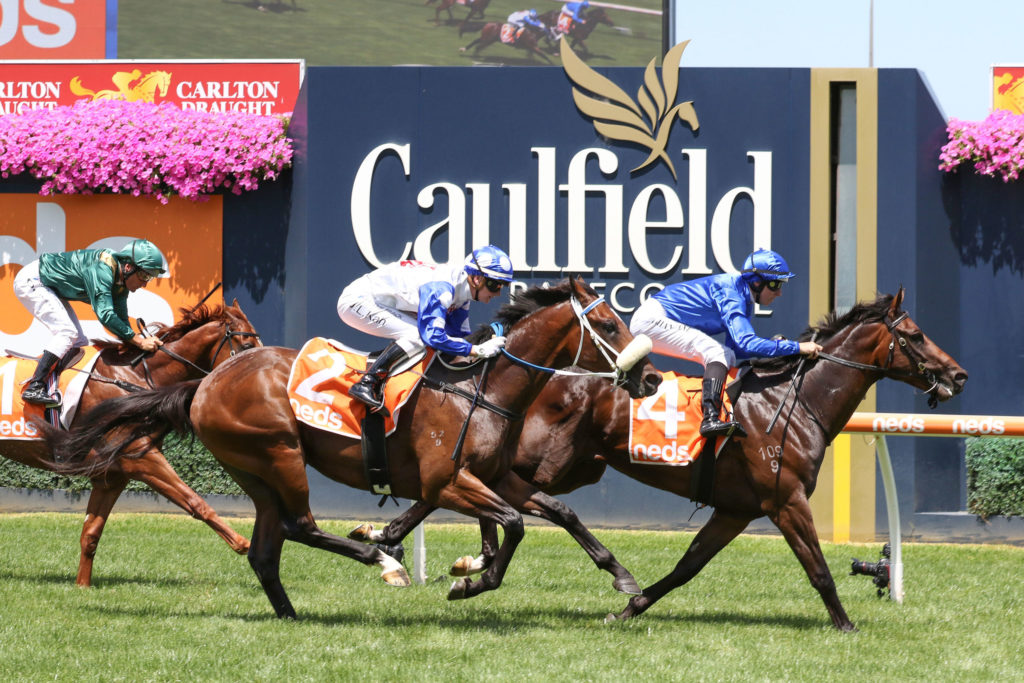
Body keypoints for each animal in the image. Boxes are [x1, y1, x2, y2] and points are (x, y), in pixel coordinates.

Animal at [2, 299, 261, 586]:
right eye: (247, 346)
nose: (258, 383)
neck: (133, 379)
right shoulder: (140, 457)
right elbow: (195, 501)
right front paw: (245, 544)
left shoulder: (113, 474)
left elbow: (91, 532)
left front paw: (82, 586)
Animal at [50, 278, 662, 618]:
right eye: (609, 323)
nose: (653, 378)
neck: (485, 389)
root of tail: (204, 383)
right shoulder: (447, 481)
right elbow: (511, 525)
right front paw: (470, 582)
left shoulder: (497, 476)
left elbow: (559, 511)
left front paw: (622, 577)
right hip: (280, 454)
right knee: (298, 525)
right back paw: (381, 560)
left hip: (255, 470)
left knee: (266, 550)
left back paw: (293, 614)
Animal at [346, 288, 967, 631]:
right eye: (915, 334)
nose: (958, 374)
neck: (793, 404)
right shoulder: (785, 500)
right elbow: (817, 568)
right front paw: (846, 624)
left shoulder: (737, 509)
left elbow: (687, 567)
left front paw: (630, 608)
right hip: (548, 462)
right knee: (467, 489)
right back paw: (407, 545)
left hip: (571, 466)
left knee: (482, 494)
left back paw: (413, 546)